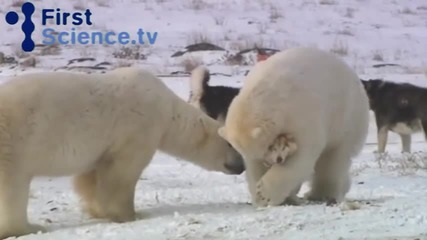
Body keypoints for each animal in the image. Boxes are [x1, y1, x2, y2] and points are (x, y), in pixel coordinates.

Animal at [0, 66, 244, 239]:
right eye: (232, 145)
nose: (242, 166)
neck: (168, 110)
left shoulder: (101, 145)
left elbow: (91, 175)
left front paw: (97, 210)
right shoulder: (138, 128)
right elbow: (122, 173)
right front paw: (130, 214)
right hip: (14, 143)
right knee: (13, 188)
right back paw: (28, 227)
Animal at [219, 47, 370, 207]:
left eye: (268, 147)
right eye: (264, 153)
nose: (272, 162)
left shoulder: (301, 114)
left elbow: (302, 156)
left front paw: (264, 193)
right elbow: (254, 166)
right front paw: (259, 195)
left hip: (347, 119)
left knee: (333, 160)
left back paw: (322, 194)